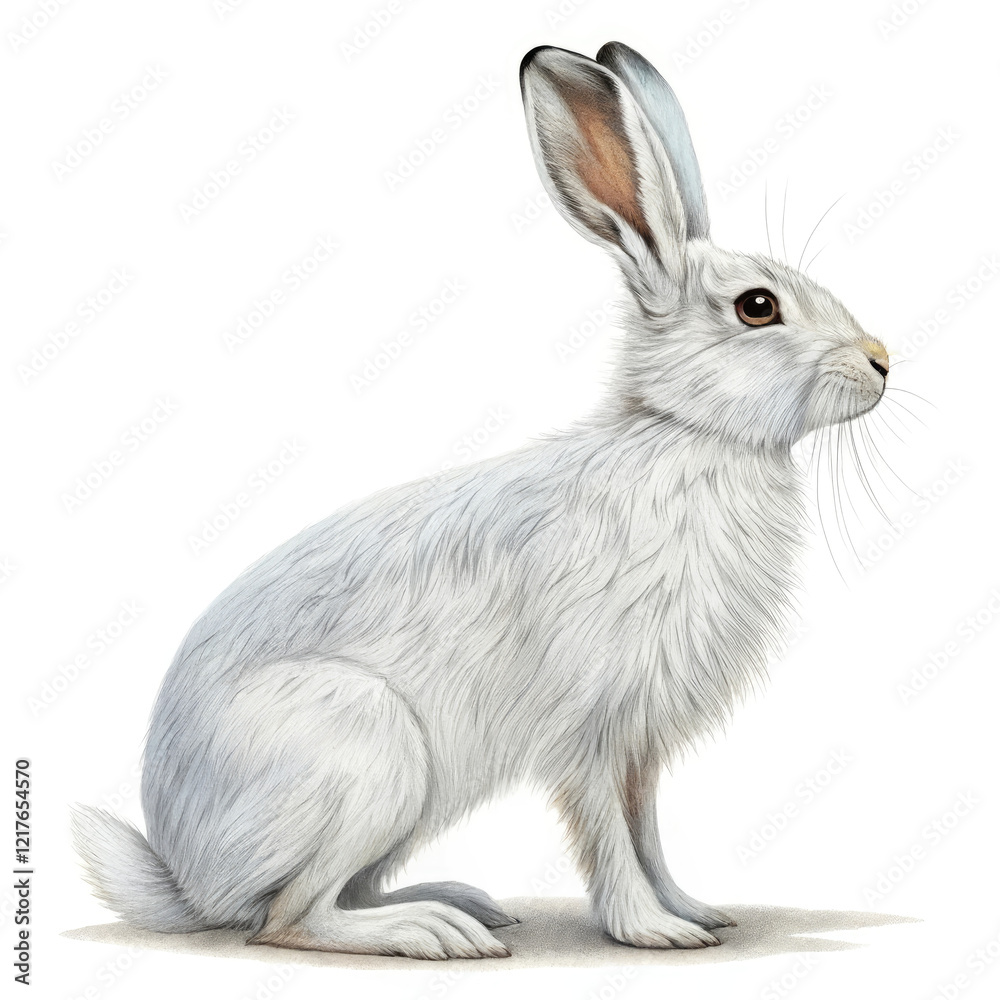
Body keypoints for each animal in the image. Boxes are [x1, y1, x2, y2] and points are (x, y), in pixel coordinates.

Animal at [72, 42, 889, 960]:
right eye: (758, 307)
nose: (882, 362)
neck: (689, 435)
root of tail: (185, 878)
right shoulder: (589, 730)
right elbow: (610, 834)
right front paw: (649, 931)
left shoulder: (640, 744)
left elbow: (647, 830)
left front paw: (695, 912)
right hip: (367, 752)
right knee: (289, 919)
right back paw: (432, 933)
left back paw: (460, 900)